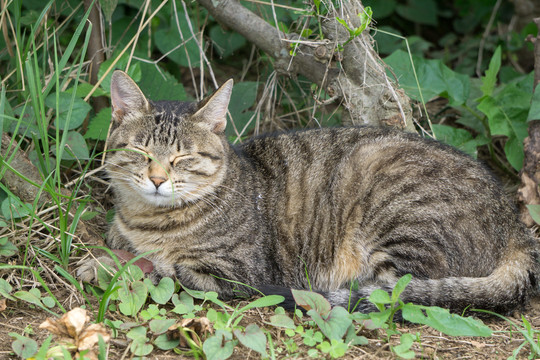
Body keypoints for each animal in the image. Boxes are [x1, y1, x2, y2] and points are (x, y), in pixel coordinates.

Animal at [78, 70, 540, 316]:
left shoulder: (233, 272)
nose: (157, 178)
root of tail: (514, 224)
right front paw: (108, 256)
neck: (147, 220)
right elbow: (125, 245)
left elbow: (162, 268)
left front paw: (104, 265)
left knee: (396, 291)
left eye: (183, 157)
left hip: (392, 205)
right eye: (141, 151)